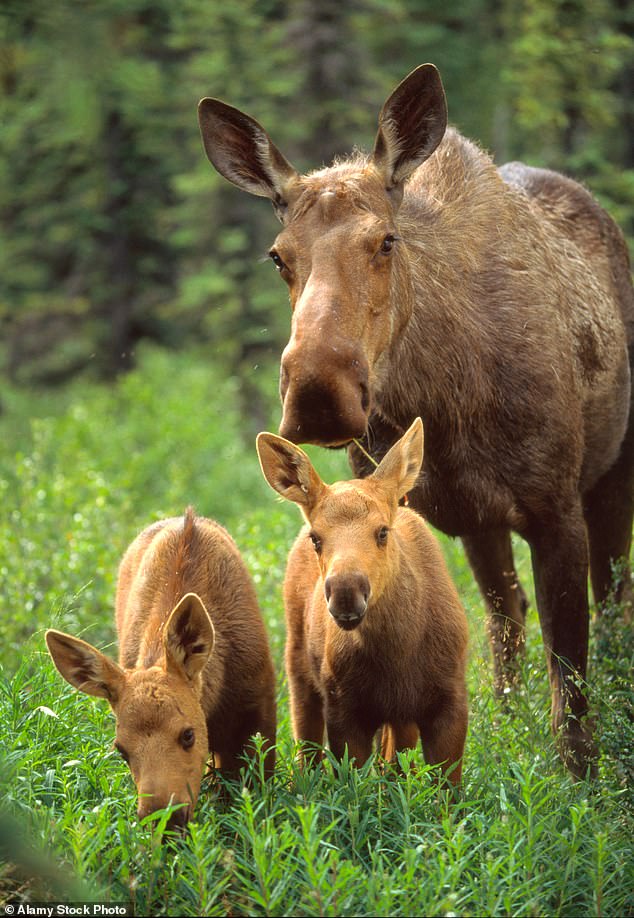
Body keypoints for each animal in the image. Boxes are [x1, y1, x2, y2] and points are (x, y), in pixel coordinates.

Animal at [254, 420, 466, 788]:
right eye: (317, 538)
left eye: (382, 531)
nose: (346, 592)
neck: (397, 653)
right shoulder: (343, 708)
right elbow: (355, 788)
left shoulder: (451, 702)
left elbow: (448, 792)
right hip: (297, 669)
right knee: (306, 746)